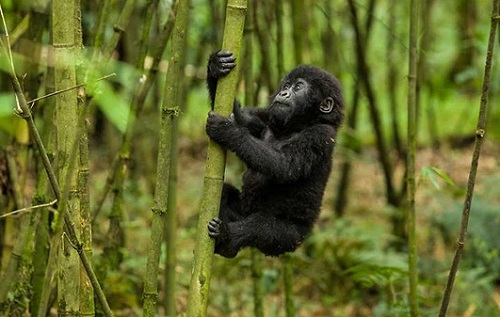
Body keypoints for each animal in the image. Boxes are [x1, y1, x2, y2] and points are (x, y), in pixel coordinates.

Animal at [204, 50, 344, 256]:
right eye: (286, 86)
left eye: (298, 87)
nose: (283, 93)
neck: (298, 125)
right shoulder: (267, 116)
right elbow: (240, 117)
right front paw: (216, 66)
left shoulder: (322, 135)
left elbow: (284, 165)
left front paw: (227, 130)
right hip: (242, 212)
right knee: (225, 193)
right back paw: (226, 245)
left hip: (290, 239)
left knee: (262, 227)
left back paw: (227, 236)